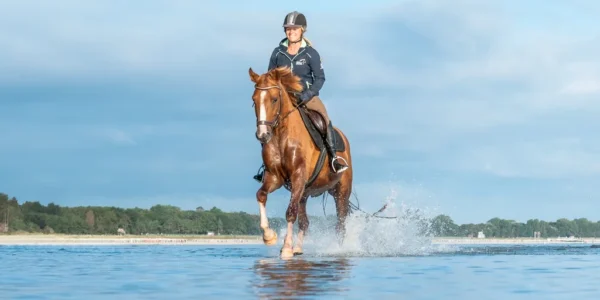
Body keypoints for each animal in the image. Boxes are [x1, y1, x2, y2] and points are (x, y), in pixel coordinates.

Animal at [247, 65, 352, 258]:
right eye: (254, 100)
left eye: (274, 99)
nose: (262, 135)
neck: (282, 136)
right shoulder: (275, 178)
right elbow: (261, 195)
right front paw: (269, 236)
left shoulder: (298, 176)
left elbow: (290, 212)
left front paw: (286, 247)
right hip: (305, 191)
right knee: (305, 221)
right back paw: (298, 247)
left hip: (341, 191)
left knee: (340, 222)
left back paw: (339, 249)